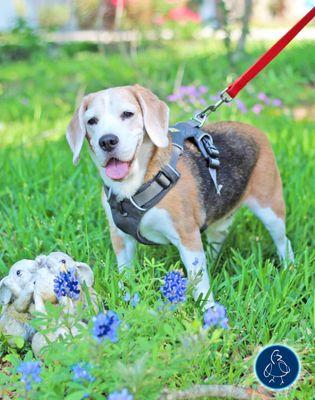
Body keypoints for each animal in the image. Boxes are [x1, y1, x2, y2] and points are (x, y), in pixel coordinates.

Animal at [66, 84, 294, 310]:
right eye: (92, 121)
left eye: (127, 114)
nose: (107, 141)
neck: (134, 185)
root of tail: (252, 128)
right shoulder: (121, 239)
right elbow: (125, 274)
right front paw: (125, 299)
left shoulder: (187, 237)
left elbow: (201, 285)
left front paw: (209, 311)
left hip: (270, 209)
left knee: (284, 241)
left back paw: (288, 267)